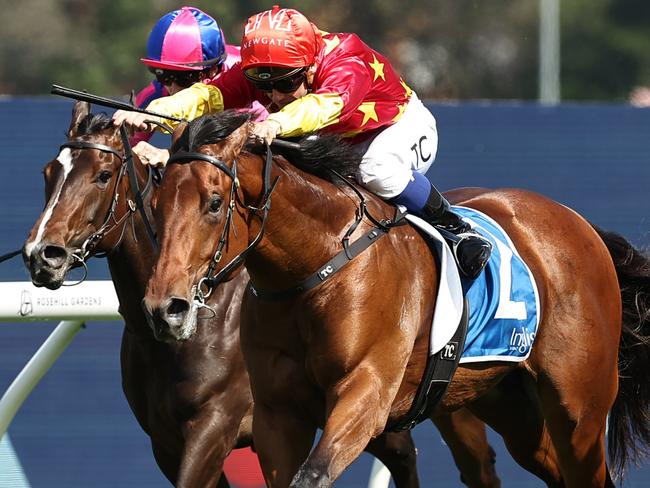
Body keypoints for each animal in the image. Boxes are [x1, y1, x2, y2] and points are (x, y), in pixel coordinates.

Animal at [142, 111, 648, 488]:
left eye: (213, 203)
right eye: (156, 204)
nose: (166, 308)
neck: (317, 265)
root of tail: (578, 223)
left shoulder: (367, 392)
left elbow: (314, 474)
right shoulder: (276, 413)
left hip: (579, 409)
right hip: (508, 402)